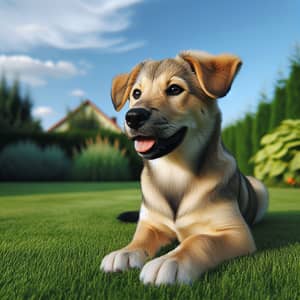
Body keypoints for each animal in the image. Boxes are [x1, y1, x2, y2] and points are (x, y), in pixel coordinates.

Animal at [99, 50, 268, 284]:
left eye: (174, 89)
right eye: (136, 93)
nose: (132, 116)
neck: (175, 171)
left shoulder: (235, 232)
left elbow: (200, 241)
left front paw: (170, 260)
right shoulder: (151, 224)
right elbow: (140, 239)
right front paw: (125, 252)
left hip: (261, 189)